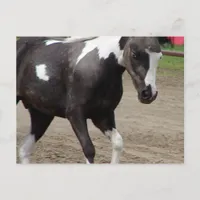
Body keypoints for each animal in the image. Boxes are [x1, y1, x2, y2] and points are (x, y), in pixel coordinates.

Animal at [16, 36, 162, 164]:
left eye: (159, 57)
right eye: (135, 54)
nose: (149, 93)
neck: (100, 66)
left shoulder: (103, 116)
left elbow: (118, 143)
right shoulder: (75, 115)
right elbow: (89, 149)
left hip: (42, 114)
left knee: (24, 150)